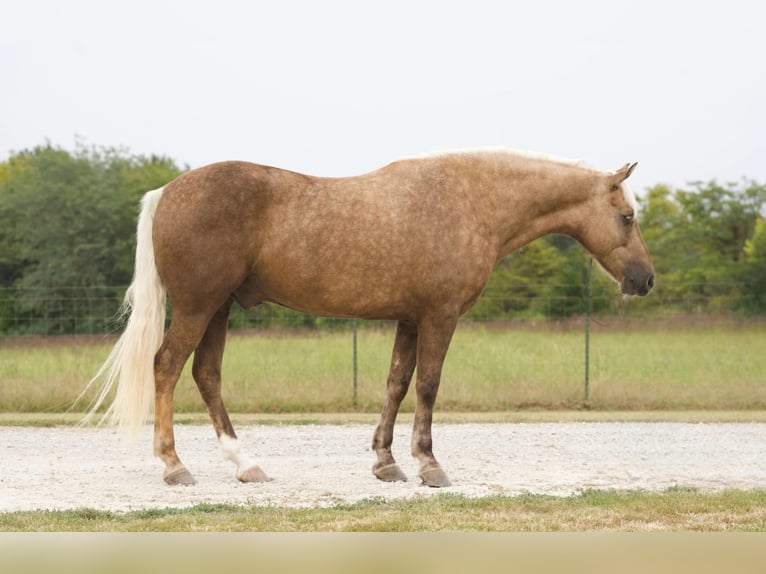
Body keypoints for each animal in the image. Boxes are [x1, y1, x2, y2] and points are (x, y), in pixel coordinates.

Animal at [85, 148, 660, 486]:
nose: (646, 280)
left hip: (219, 307)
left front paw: (386, 462)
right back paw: (174, 466)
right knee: (166, 367)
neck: (470, 200)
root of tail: (167, 192)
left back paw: (245, 465)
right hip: (199, 305)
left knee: (206, 374)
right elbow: (427, 385)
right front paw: (429, 465)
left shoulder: (410, 318)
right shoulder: (439, 316)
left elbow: (396, 383)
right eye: (627, 216)